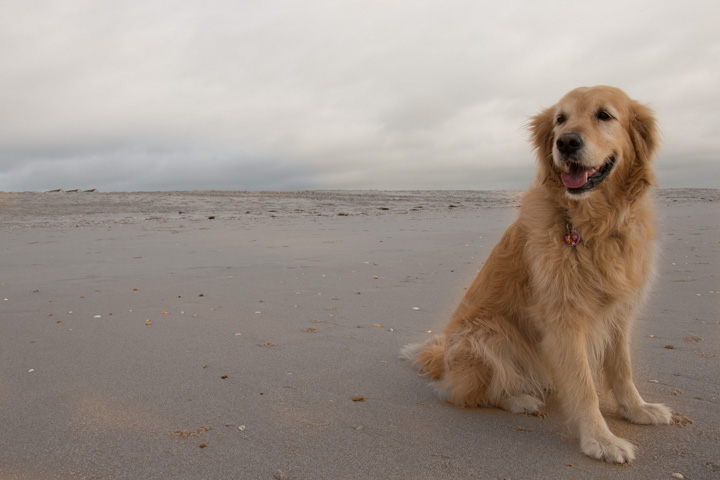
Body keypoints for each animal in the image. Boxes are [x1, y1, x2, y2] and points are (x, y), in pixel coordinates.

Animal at [402, 85, 672, 462]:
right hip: (489, 335)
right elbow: (585, 387)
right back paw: (519, 399)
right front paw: (600, 439)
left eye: (604, 115)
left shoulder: (620, 311)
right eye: (560, 119)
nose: (566, 142)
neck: (595, 225)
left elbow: (622, 369)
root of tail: (442, 358)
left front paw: (637, 409)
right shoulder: (564, 317)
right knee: (462, 392)